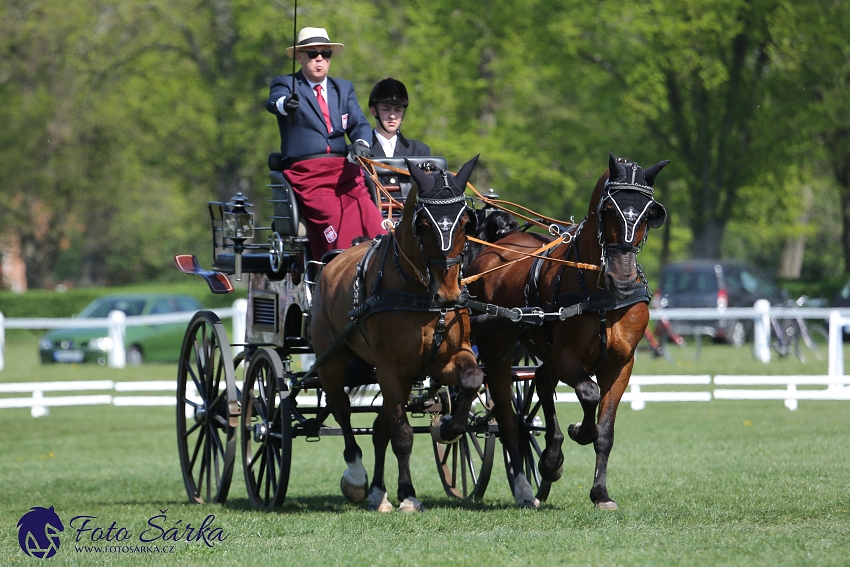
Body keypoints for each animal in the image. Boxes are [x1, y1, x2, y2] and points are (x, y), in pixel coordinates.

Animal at [312, 155, 484, 516]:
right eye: (424, 225)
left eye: (466, 223)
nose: (449, 294)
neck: (419, 290)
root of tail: (329, 265)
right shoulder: (389, 368)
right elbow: (402, 434)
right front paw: (408, 495)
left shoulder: (446, 359)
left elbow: (472, 380)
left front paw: (449, 429)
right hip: (332, 361)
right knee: (342, 410)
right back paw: (357, 477)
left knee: (379, 428)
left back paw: (378, 492)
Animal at [468, 152, 664, 510]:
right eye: (609, 209)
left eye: (648, 213)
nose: (623, 279)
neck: (601, 295)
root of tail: (493, 248)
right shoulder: (567, 356)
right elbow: (589, 393)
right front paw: (576, 433)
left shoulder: (621, 363)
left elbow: (605, 430)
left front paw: (600, 493)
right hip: (498, 350)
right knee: (507, 415)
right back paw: (525, 485)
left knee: (541, 382)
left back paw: (548, 458)